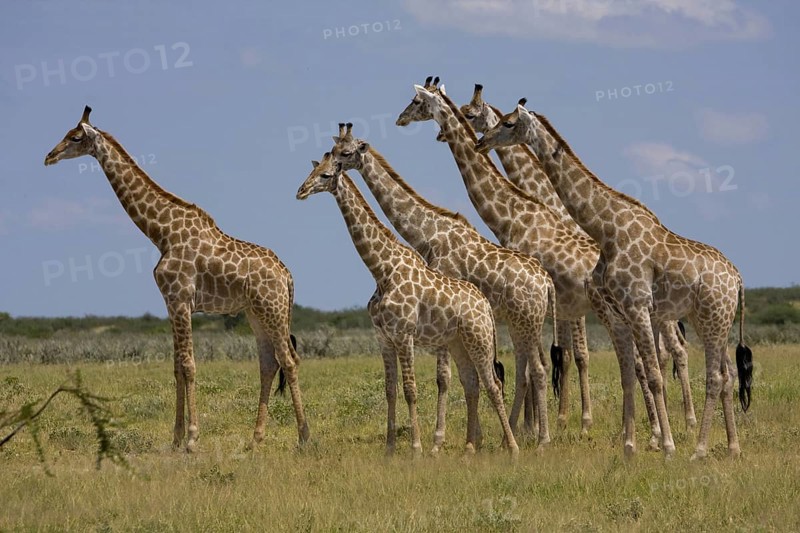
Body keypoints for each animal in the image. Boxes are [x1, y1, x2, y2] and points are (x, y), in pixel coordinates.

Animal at [44, 106, 309, 452]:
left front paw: (192, 439)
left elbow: (189, 365)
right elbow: (176, 367)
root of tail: (287, 275)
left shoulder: (182, 299)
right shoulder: (170, 302)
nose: (49, 156)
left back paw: (304, 437)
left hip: (273, 309)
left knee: (289, 360)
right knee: (268, 363)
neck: (162, 233)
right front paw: (176, 439)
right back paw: (255, 441)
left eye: (75, 137)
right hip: (255, 312)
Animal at [296, 153, 519, 457]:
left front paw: (416, 449)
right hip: (457, 343)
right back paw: (469, 449)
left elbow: (410, 389)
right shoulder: (383, 338)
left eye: (326, 175)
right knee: (472, 383)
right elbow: (390, 390)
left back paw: (512, 447)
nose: (301, 191)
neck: (381, 270)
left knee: (493, 384)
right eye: (313, 170)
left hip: (479, 338)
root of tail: (484, 304)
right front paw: (390, 450)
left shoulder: (404, 335)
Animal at [330, 122, 560, 448]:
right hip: (524, 324)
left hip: (525, 322)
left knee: (537, 370)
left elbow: (444, 377)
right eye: (333, 150)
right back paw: (517, 436)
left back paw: (541, 440)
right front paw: (472, 438)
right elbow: (461, 377)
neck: (426, 232)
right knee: (528, 370)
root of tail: (546, 281)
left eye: (346, 152)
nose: (330, 168)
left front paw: (439, 441)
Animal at [460, 84, 697, 432]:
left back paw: (684, 419)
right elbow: (565, 357)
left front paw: (568, 423)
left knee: (673, 350)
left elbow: (573, 357)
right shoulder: (566, 305)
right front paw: (555, 421)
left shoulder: (572, 304)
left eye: (473, 114)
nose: (480, 141)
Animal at [476, 100, 753, 459]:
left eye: (509, 123)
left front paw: (667, 447)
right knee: (728, 373)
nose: (481, 142)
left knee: (716, 376)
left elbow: (654, 376)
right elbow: (628, 376)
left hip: (713, 319)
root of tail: (737, 278)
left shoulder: (637, 306)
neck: (606, 229)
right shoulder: (620, 313)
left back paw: (700, 450)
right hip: (709, 319)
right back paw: (732, 448)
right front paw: (629, 447)